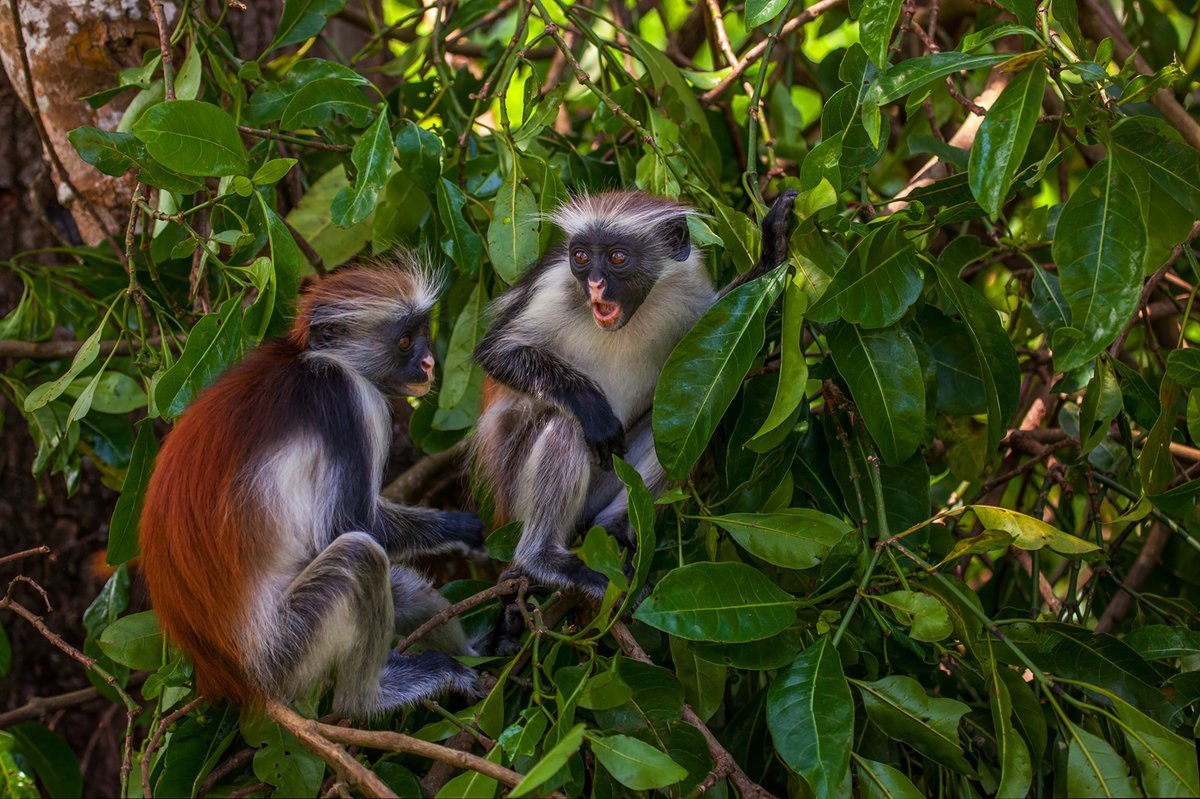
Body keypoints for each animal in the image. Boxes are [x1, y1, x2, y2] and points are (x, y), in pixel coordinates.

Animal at [137, 256, 482, 715]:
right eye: (406, 341)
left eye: (423, 334)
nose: (428, 364)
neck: (311, 359)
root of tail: (229, 675)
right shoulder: (345, 398)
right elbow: (345, 525)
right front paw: (459, 530)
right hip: (286, 649)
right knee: (359, 556)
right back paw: (369, 699)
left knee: (402, 589)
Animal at [470, 189, 796, 595]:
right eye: (581, 257)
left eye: (617, 258)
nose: (594, 284)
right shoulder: (554, 285)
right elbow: (497, 353)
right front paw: (591, 407)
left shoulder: (686, 283)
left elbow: (708, 338)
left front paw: (772, 250)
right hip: (518, 488)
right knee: (566, 426)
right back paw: (542, 559)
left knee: (675, 428)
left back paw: (612, 526)